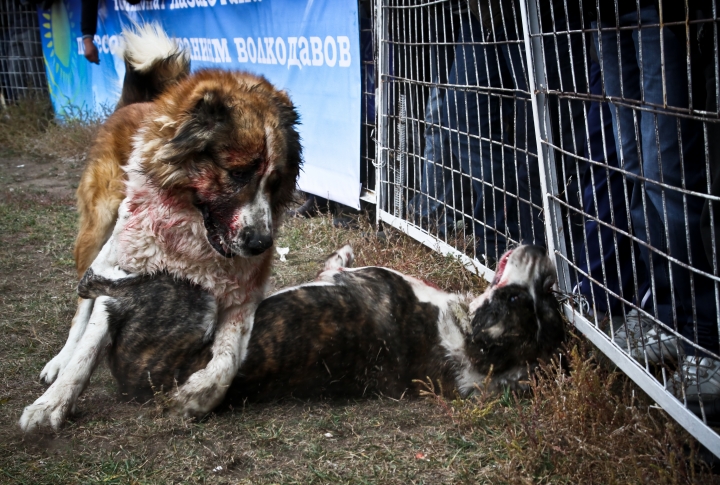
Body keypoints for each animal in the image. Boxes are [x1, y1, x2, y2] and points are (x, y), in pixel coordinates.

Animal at [19, 23, 300, 432]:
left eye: (275, 182)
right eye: (236, 173)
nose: (261, 244)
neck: (190, 237)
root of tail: (135, 104)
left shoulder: (243, 295)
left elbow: (227, 361)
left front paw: (196, 396)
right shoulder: (123, 273)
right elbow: (88, 346)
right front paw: (52, 404)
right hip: (99, 232)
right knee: (81, 304)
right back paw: (60, 360)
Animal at [70, 244, 564, 402]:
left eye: (514, 298)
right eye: (544, 300)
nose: (545, 254)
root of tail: (135, 382)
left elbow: (334, 268)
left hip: (195, 301)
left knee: (104, 286)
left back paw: (102, 276)